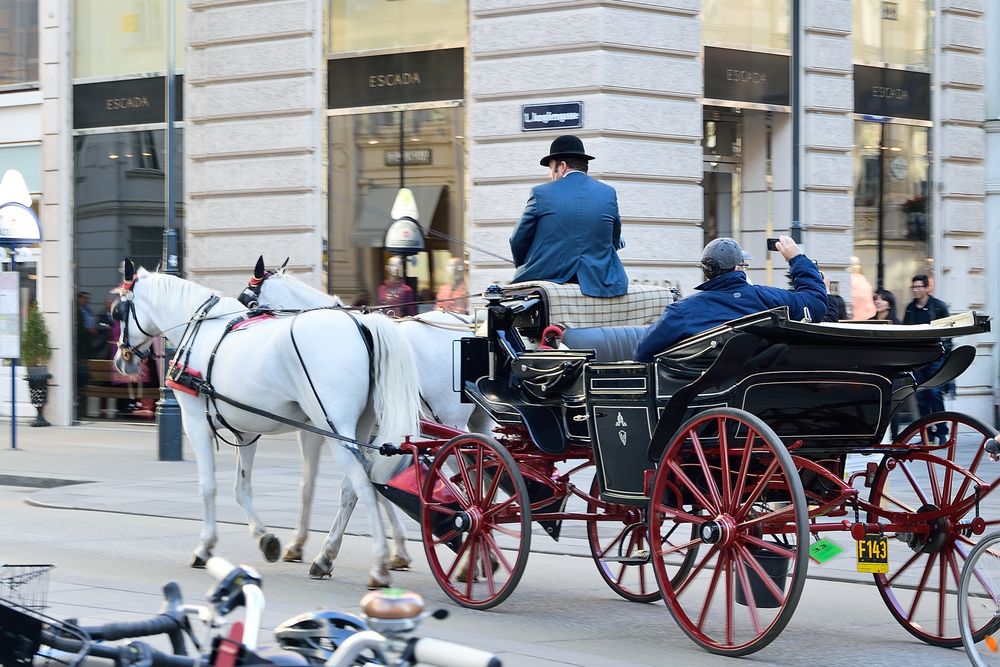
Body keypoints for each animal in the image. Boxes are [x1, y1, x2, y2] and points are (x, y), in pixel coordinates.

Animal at [110, 258, 422, 588]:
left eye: (118, 311)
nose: (121, 360)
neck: (199, 329)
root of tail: (362, 324)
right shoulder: (245, 431)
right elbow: (242, 487)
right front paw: (265, 538)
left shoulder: (195, 423)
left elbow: (208, 486)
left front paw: (205, 547)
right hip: (359, 429)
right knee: (354, 488)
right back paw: (327, 557)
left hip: (335, 428)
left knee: (363, 485)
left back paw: (379, 564)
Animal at [239, 258, 496, 568]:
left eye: (248, 302)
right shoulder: (370, 436)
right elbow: (373, 484)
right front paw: (398, 548)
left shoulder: (316, 430)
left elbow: (310, 486)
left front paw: (301, 544)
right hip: (478, 421)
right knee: (485, 475)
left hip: (451, 422)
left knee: (471, 482)